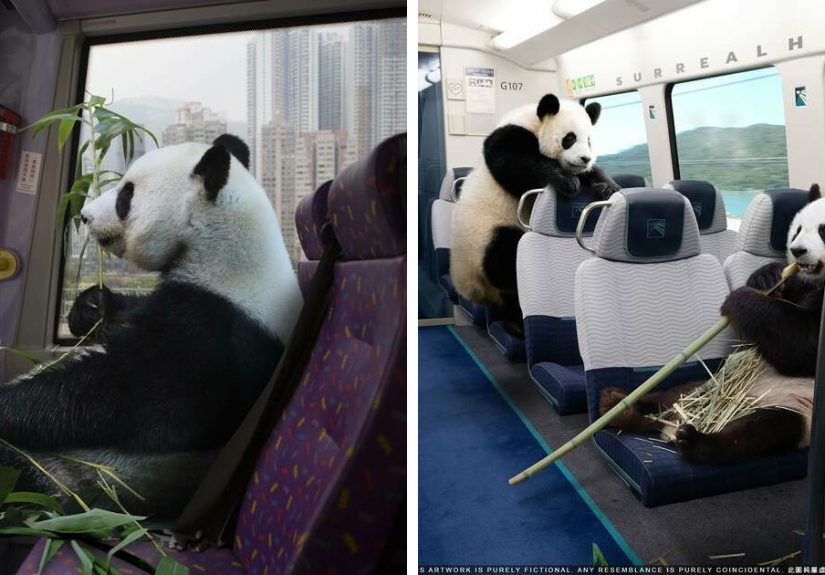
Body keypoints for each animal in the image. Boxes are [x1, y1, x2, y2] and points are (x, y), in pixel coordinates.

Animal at [2, 134, 301, 518]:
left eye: (126, 195)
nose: (85, 216)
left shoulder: (220, 335)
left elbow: (122, 396)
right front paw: (90, 308)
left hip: (83, 475)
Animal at [450, 93, 620, 331]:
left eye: (589, 140)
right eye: (570, 138)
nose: (585, 158)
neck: (533, 123)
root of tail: (469, 289)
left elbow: (593, 175)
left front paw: (608, 187)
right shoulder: (509, 136)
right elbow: (518, 165)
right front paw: (566, 181)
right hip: (483, 238)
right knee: (504, 259)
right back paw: (515, 323)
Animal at [600, 184, 823, 463]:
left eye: (822, 229)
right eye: (798, 229)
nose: (798, 251)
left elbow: (802, 343)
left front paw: (740, 298)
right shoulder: (802, 282)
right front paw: (766, 276)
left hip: (797, 409)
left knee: (759, 431)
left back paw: (694, 441)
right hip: (711, 383)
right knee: (675, 395)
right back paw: (619, 406)